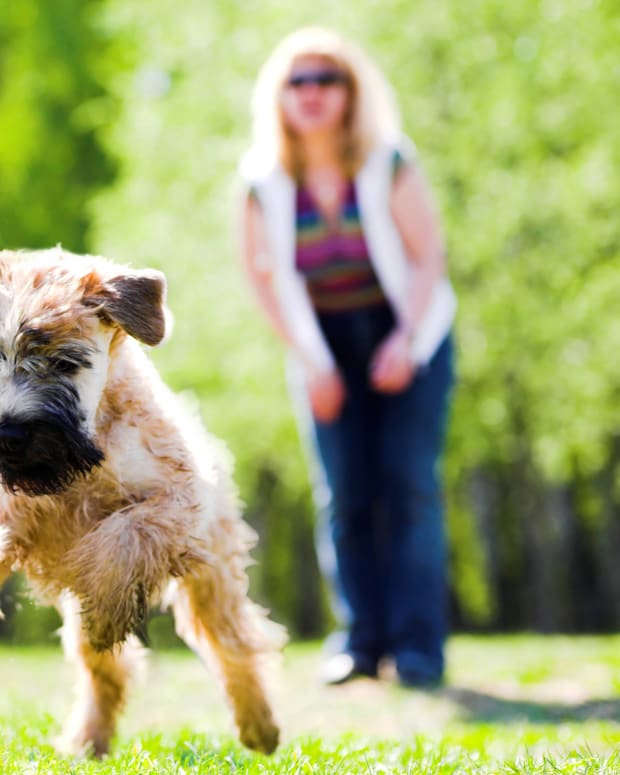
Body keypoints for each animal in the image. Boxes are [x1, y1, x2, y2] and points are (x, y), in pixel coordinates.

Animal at [0, 247, 284, 756]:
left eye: (65, 363)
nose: (9, 434)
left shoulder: (175, 502)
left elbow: (124, 535)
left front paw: (109, 610)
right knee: (106, 672)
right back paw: (88, 741)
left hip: (215, 582)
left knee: (236, 646)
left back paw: (260, 727)